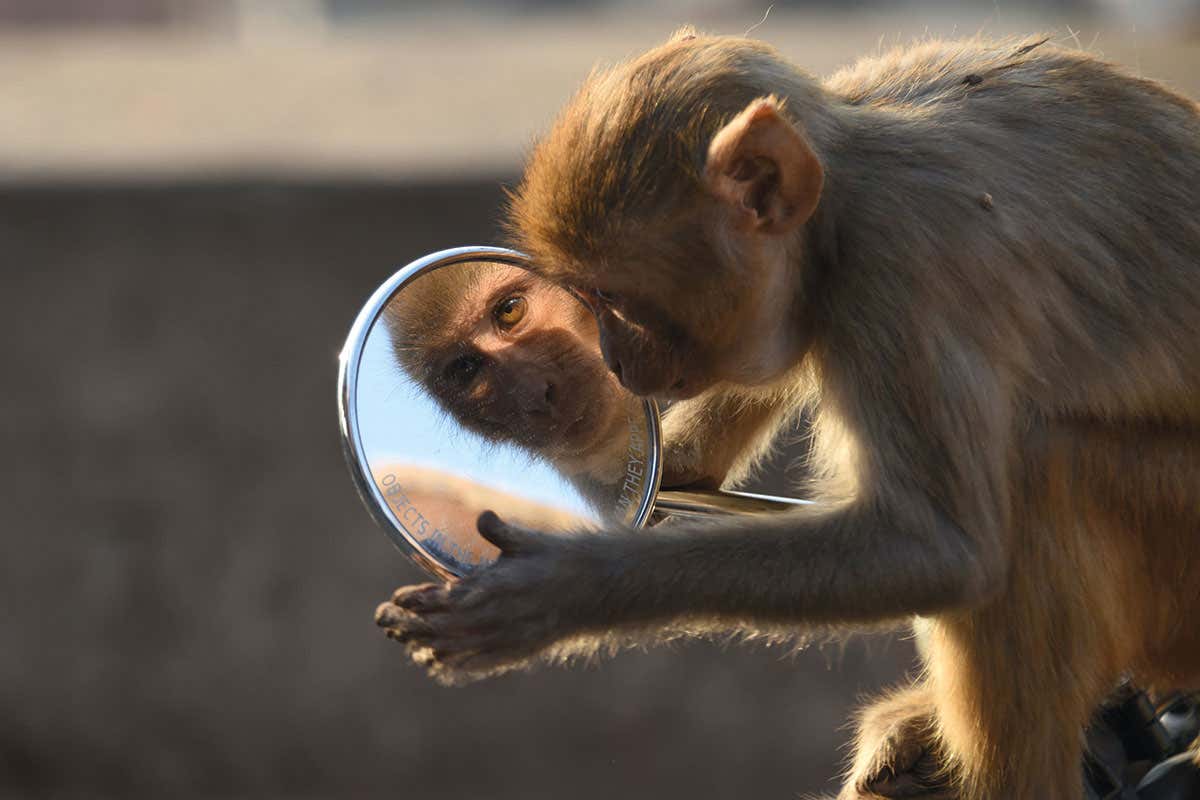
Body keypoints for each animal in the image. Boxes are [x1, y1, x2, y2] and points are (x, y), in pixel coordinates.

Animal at [374, 30, 1200, 800]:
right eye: (585, 302)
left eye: (611, 297)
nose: (613, 362)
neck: (848, 189)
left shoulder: (908, 263)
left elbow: (943, 548)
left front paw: (564, 590)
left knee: (1039, 471)